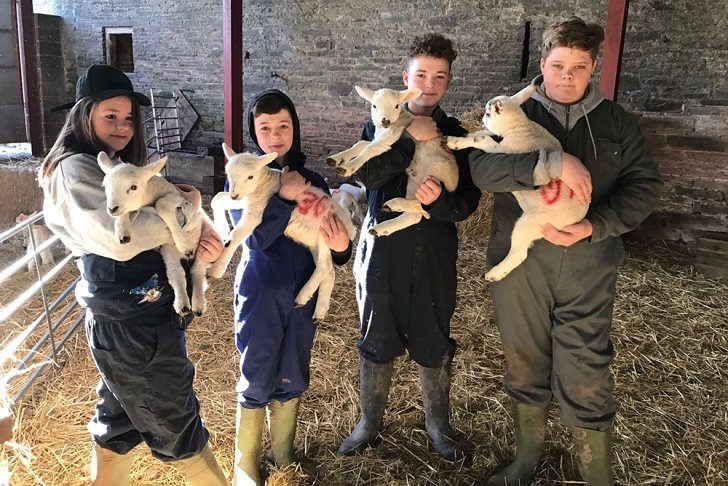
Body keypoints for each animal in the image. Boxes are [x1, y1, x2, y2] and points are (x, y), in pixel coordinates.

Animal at [97, 154, 210, 318]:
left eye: (133, 187)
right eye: (105, 187)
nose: (112, 209)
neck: (150, 194)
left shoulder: (178, 199)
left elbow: (161, 204)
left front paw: (184, 243)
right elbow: (126, 213)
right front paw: (122, 232)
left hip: (201, 250)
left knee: (197, 272)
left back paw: (198, 305)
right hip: (169, 253)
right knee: (177, 274)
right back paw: (183, 305)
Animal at [206, 144, 356, 320]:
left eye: (250, 176)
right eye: (228, 173)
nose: (234, 195)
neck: (263, 183)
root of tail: (351, 229)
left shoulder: (256, 211)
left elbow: (236, 236)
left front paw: (217, 269)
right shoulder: (246, 200)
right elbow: (217, 197)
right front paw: (222, 226)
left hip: (325, 235)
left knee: (324, 266)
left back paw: (302, 297)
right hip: (314, 241)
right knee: (329, 271)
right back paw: (320, 309)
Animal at [328, 85, 458, 237]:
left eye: (396, 105)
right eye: (374, 105)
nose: (385, 120)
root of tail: (454, 184)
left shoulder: (388, 137)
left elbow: (369, 149)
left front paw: (348, 167)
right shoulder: (379, 138)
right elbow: (360, 145)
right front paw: (337, 158)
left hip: (433, 173)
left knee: (420, 204)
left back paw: (393, 205)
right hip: (414, 183)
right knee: (414, 214)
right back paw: (381, 227)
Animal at [446, 83, 588, 280]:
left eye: (488, 113)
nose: (481, 119)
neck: (521, 127)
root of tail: (574, 220)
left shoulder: (502, 149)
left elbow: (482, 140)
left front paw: (455, 142)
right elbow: (484, 134)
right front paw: (469, 132)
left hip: (531, 223)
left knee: (519, 254)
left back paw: (494, 274)